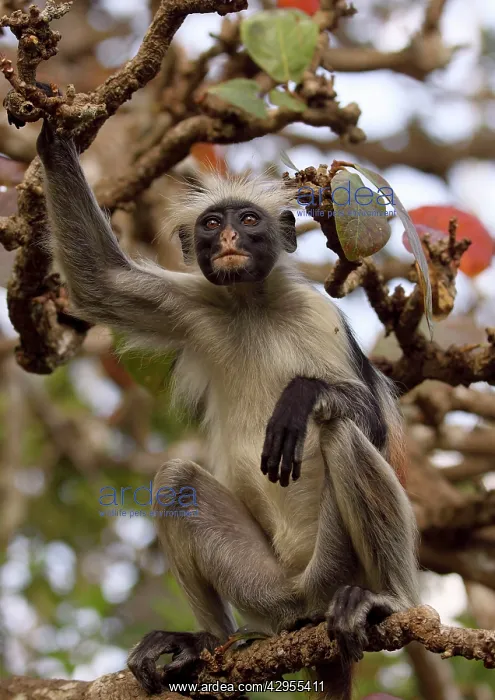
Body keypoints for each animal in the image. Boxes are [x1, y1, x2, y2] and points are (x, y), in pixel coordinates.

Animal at [36, 119, 420, 700]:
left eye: (249, 220)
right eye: (212, 223)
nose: (230, 240)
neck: (250, 304)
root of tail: (304, 593)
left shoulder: (320, 315)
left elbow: (370, 419)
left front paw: (301, 397)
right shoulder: (195, 303)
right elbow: (98, 281)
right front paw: (54, 138)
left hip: (336, 567)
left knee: (342, 430)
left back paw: (389, 601)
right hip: (266, 590)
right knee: (176, 478)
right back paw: (207, 641)